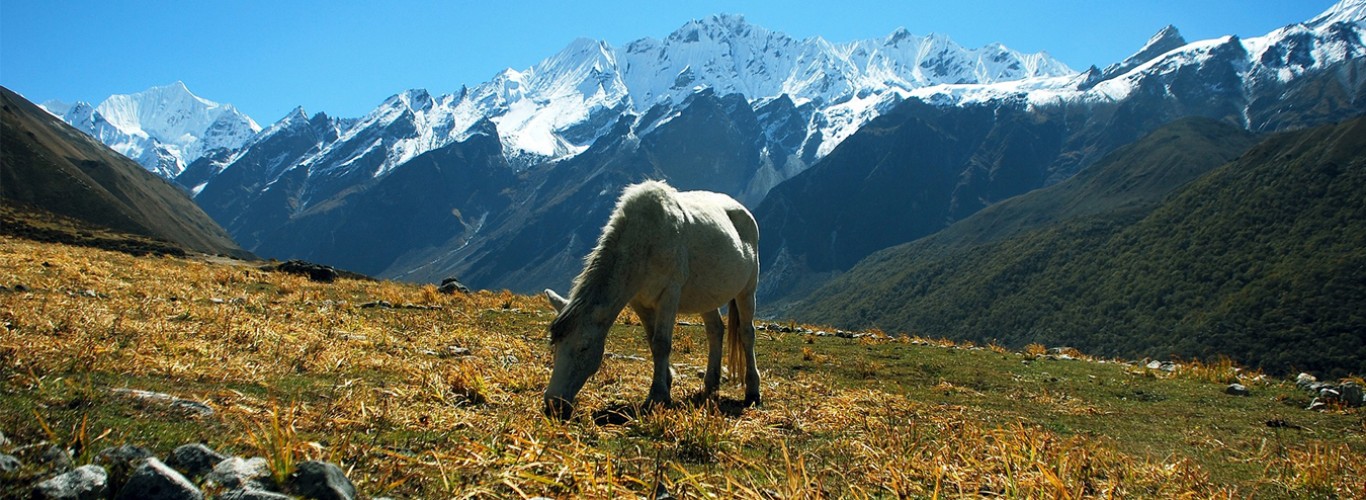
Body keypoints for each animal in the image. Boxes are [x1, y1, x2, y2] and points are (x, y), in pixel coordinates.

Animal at [540, 181, 759, 420]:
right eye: (555, 344)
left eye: (583, 348)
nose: (553, 404)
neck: (645, 239)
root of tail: (743, 211)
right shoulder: (639, 302)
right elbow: (652, 342)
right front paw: (666, 384)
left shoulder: (669, 294)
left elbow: (662, 343)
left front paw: (657, 395)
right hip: (707, 295)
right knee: (715, 331)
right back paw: (710, 386)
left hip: (747, 290)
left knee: (747, 334)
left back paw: (753, 391)